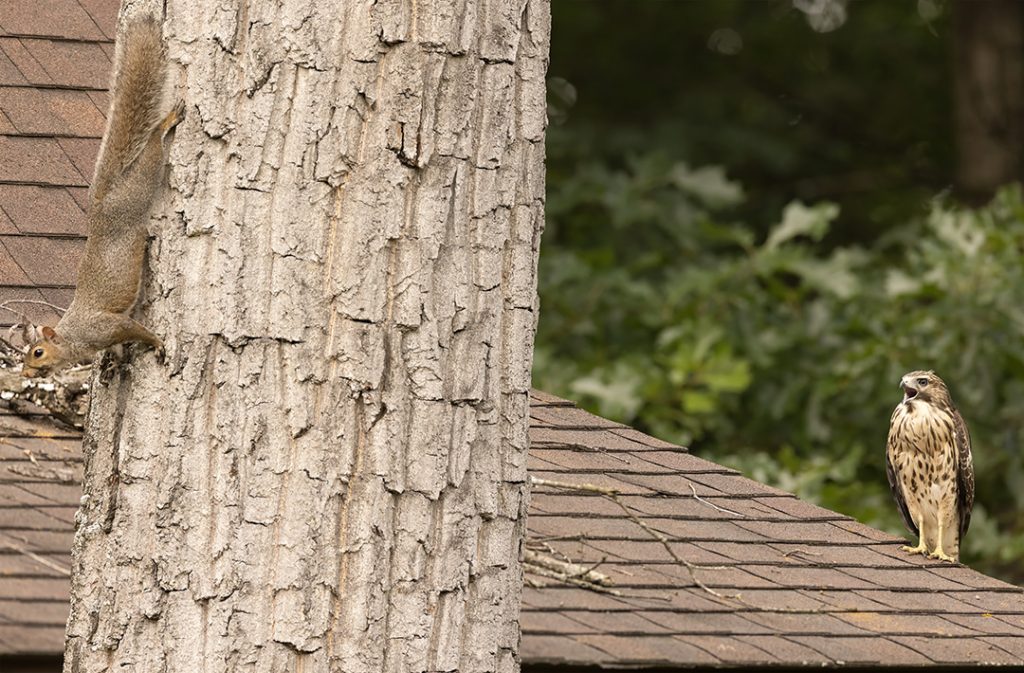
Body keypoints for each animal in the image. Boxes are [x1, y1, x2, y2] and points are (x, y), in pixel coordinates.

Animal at [22, 17, 184, 378]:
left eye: (38, 352)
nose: (24, 374)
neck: (74, 338)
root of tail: (101, 204)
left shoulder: (107, 327)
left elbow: (135, 330)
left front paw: (157, 344)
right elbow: (120, 347)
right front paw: (115, 363)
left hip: (136, 191)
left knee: (152, 151)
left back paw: (167, 122)